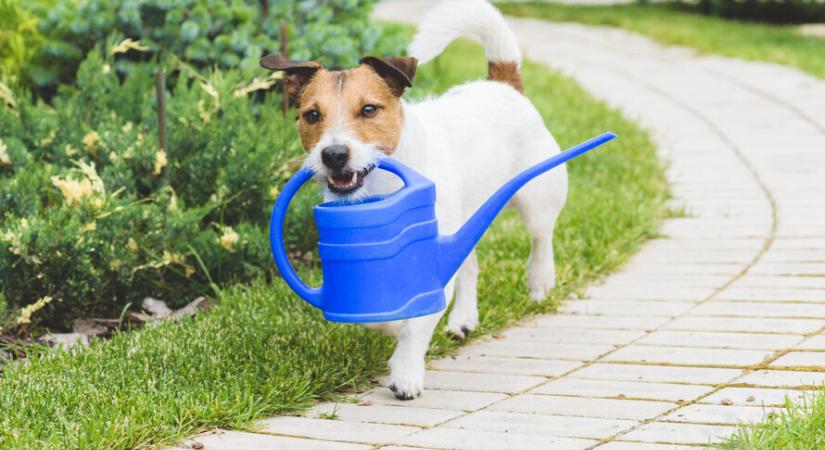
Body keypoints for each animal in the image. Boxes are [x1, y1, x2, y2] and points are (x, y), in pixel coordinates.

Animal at [262, 0, 568, 400]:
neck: (380, 186)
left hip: (536, 196)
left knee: (541, 235)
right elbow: (390, 312)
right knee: (470, 265)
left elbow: (416, 325)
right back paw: (463, 319)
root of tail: (502, 82)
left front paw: (406, 372)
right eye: (312, 115)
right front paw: (394, 325)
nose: (334, 155)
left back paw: (540, 280)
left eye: (369, 109)